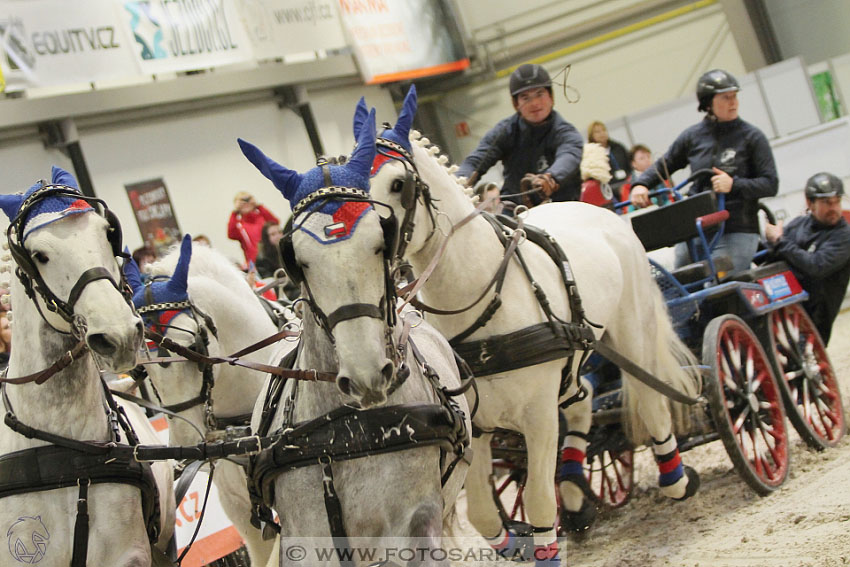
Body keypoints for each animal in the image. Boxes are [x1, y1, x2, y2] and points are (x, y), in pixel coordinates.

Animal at [237, 108, 470, 564]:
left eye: (382, 240)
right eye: (299, 260)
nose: (367, 375)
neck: (347, 434)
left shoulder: (414, 525)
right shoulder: (308, 537)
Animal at [362, 86, 700, 564]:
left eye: (398, 184)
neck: (480, 293)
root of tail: (602, 212)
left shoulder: (538, 415)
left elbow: (539, 498)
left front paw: (545, 543)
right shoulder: (476, 421)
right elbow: (483, 514)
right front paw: (517, 540)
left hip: (630, 330)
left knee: (651, 397)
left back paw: (676, 479)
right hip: (575, 355)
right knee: (583, 400)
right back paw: (577, 494)